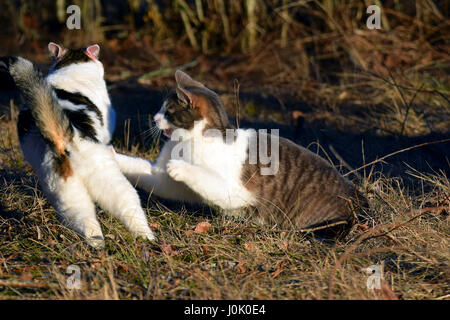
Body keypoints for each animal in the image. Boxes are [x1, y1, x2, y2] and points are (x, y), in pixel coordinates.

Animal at [0, 42, 155, 248]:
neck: (71, 66)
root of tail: (64, 137)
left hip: (68, 196)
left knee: (88, 226)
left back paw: (97, 247)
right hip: (115, 183)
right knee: (132, 212)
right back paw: (147, 237)